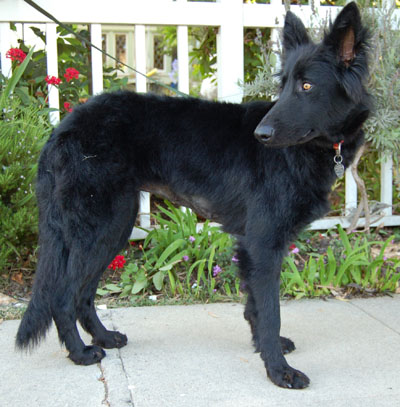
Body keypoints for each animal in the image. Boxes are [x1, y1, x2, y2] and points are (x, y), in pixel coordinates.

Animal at [16, 2, 370, 389]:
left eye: (306, 86)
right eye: (285, 84)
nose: (260, 134)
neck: (307, 152)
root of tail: (62, 129)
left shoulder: (253, 245)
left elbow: (256, 307)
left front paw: (266, 347)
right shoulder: (263, 244)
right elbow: (270, 310)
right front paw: (278, 370)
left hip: (113, 229)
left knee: (82, 294)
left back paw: (104, 337)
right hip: (99, 227)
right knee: (63, 297)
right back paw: (80, 353)